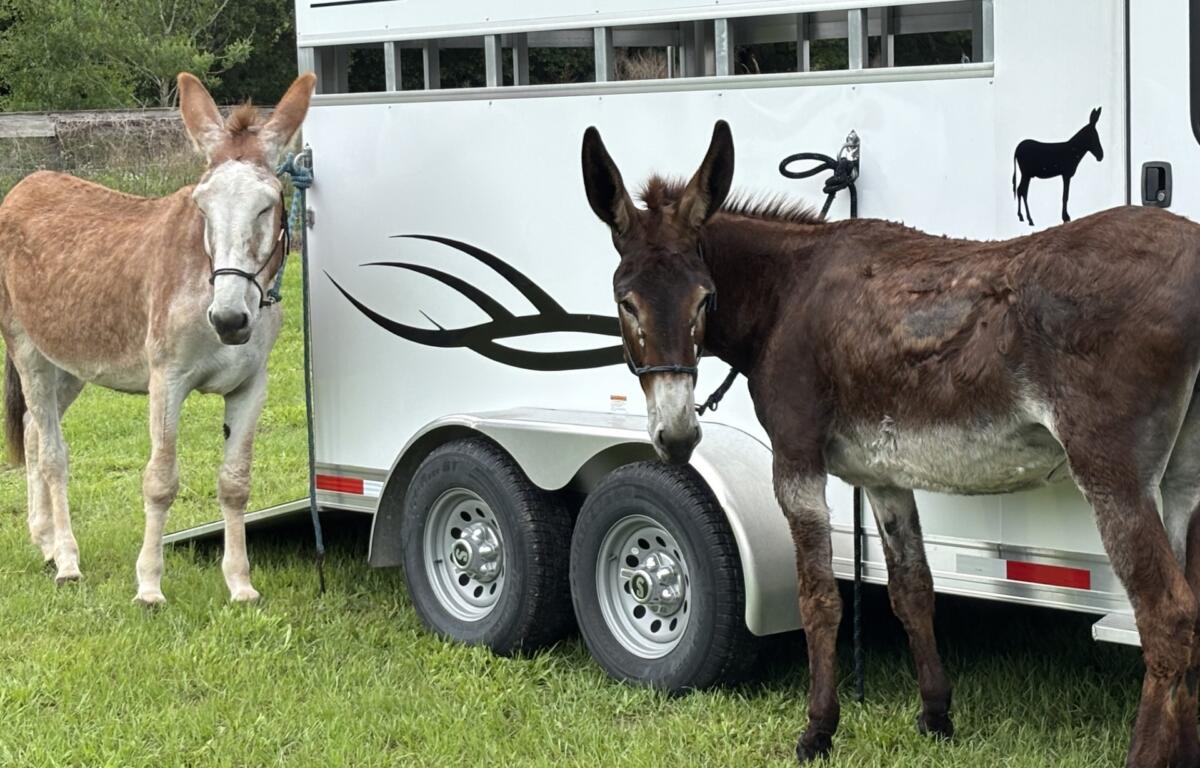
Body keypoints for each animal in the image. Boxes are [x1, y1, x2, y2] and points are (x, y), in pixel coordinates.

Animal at [0, 72, 315, 604]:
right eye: (202, 205)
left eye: (268, 204)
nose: (229, 320)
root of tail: (25, 184)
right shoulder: (166, 380)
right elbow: (160, 480)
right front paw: (149, 586)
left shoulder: (252, 385)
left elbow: (235, 482)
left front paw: (240, 584)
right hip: (28, 351)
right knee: (53, 455)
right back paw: (67, 560)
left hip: (69, 360)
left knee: (33, 433)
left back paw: (44, 542)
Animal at [581, 120, 1200, 768]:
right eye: (626, 302)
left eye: (704, 299)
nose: (677, 437)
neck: (786, 295)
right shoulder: (882, 474)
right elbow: (912, 589)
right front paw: (936, 715)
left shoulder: (796, 461)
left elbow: (819, 598)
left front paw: (818, 731)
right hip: (1183, 479)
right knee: (1192, 612)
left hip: (1114, 475)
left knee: (1167, 619)